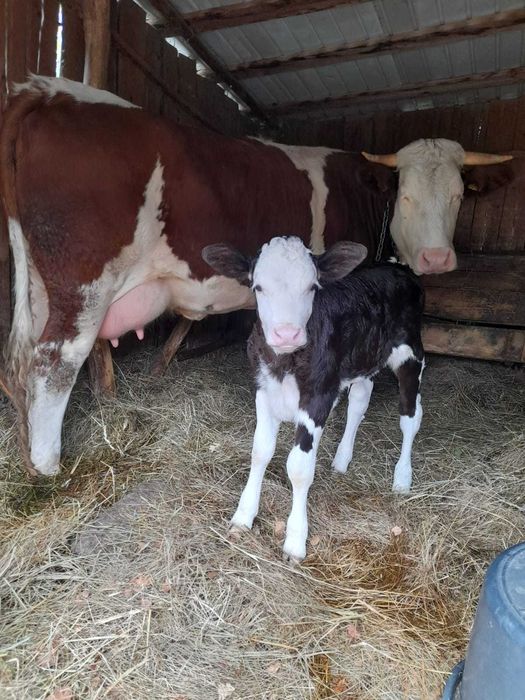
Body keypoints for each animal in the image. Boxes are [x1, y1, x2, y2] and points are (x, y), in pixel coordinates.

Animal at [0, 75, 512, 477]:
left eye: (459, 194)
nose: (436, 258)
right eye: (405, 194)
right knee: (54, 363)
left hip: (39, 286)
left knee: (20, 362)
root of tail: (47, 89)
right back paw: (49, 468)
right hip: (82, 286)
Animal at [203, 236, 424, 562]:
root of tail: (396, 265)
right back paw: (342, 460)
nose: (286, 334)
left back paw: (402, 478)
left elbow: (298, 468)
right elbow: (260, 452)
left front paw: (295, 541)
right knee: (359, 402)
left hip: (411, 354)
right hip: (364, 359)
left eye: (312, 287)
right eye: (258, 287)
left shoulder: (318, 398)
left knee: (411, 416)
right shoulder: (263, 390)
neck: (285, 363)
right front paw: (243, 516)